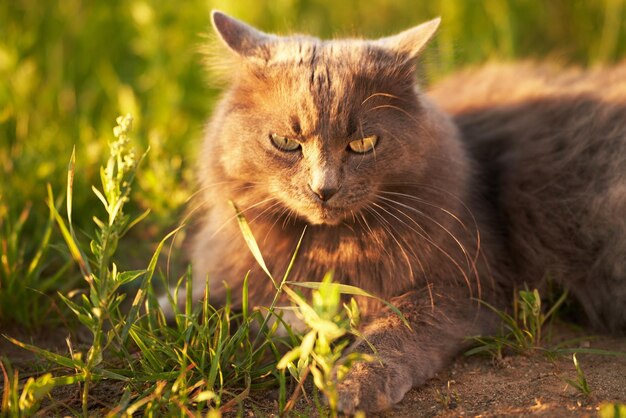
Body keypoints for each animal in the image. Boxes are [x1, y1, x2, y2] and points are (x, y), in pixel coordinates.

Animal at [169, 11, 624, 414]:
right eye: (284, 142)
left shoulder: (469, 285)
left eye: (363, 144)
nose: (324, 189)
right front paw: (164, 310)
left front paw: (354, 382)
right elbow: (196, 299)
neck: (329, 247)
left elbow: (395, 328)